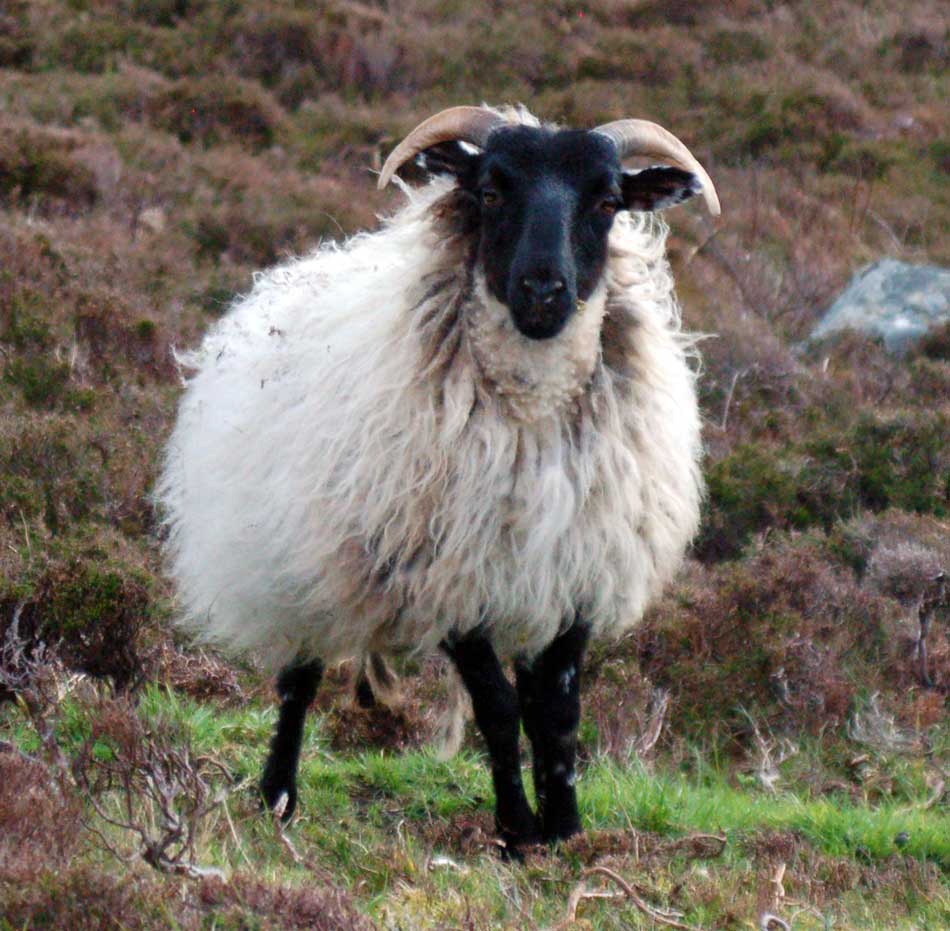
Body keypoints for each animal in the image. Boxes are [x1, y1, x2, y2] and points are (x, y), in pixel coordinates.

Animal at [158, 105, 720, 856]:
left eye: (607, 202)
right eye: (491, 191)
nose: (544, 290)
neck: (531, 410)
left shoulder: (572, 570)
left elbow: (558, 711)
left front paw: (566, 833)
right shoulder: (446, 573)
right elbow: (499, 708)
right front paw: (518, 833)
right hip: (298, 556)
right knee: (298, 679)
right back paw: (278, 795)